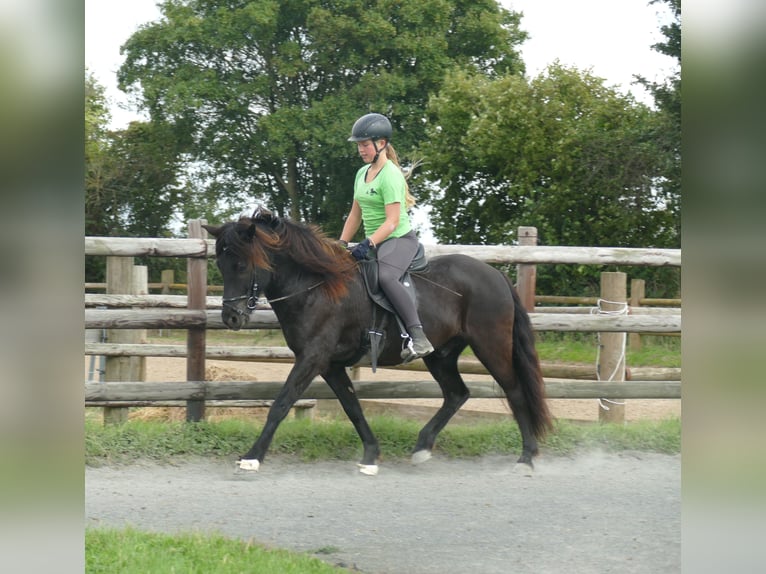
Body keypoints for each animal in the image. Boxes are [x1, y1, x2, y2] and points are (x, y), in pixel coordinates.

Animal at [204, 209, 552, 474]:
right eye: (220, 264)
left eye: (241, 264)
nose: (231, 318)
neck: (316, 287)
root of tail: (496, 275)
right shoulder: (330, 365)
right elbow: (352, 407)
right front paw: (371, 455)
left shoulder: (313, 357)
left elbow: (282, 402)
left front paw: (252, 457)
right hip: (441, 355)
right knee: (457, 393)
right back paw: (422, 447)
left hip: (491, 346)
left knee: (514, 391)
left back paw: (526, 457)